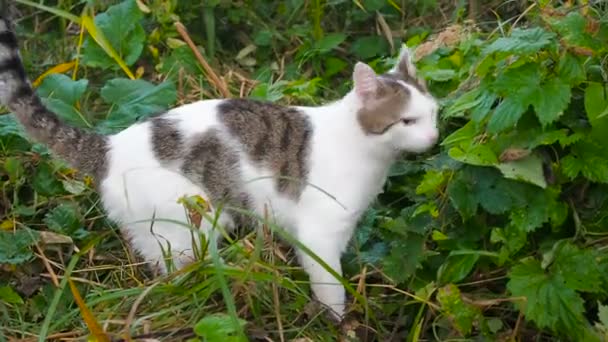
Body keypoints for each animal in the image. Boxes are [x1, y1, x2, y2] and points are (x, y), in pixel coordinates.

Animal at [0, 6, 436, 320]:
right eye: (406, 121)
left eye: (433, 114)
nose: (433, 138)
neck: (361, 146)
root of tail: (111, 145)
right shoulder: (320, 233)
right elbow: (329, 284)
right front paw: (338, 320)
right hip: (194, 219)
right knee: (179, 271)